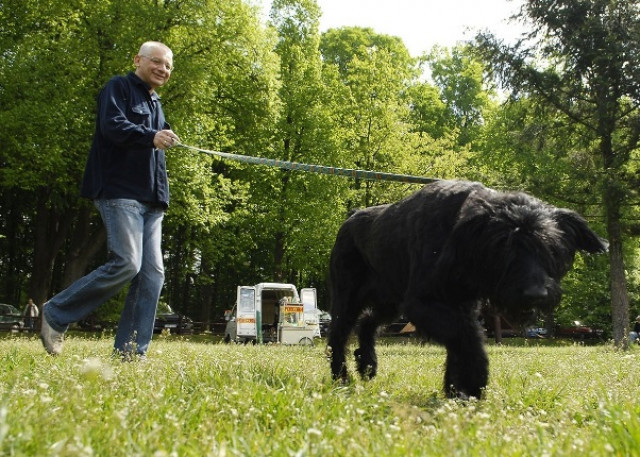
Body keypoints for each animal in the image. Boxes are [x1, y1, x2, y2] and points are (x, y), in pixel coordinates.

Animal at [328, 180, 608, 398]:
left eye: (551, 248)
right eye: (503, 247)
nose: (536, 294)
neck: (461, 245)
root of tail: (352, 216)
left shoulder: (461, 307)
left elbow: (460, 342)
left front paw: (455, 389)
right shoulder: (423, 303)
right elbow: (467, 338)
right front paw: (472, 383)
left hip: (389, 304)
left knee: (367, 323)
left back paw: (367, 363)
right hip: (348, 299)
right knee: (337, 335)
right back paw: (341, 377)